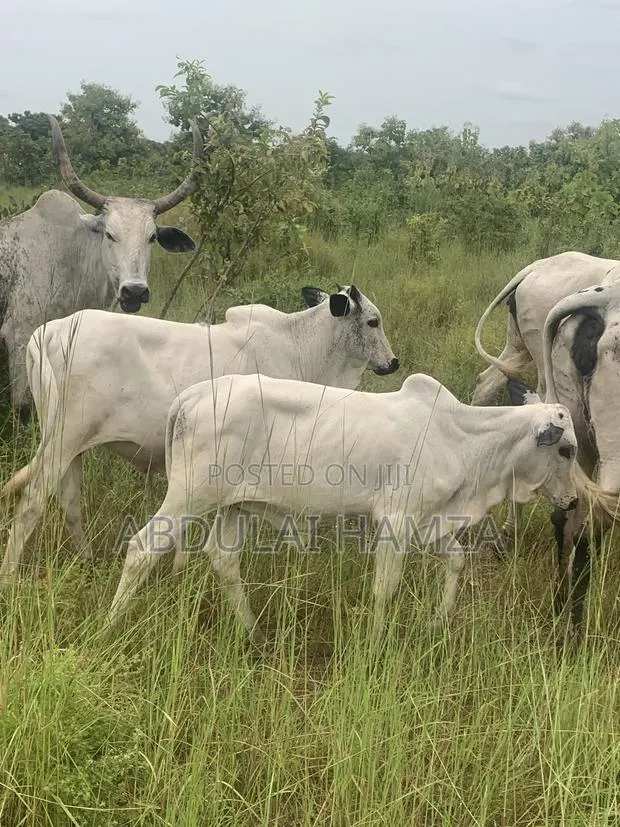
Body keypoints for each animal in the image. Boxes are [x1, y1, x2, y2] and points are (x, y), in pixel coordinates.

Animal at [0, 284, 399, 584]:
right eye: (373, 321)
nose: (393, 363)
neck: (302, 347)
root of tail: (49, 330)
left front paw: (179, 571)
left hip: (73, 448)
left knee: (70, 503)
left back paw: (87, 560)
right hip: (62, 441)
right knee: (32, 504)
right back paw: (9, 576)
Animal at [106, 371, 580, 643]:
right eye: (568, 450)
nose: (573, 500)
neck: (463, 438)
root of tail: (193, 396)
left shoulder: (430, 523)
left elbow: (458, 561)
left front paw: (436, 622)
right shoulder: (396, 521)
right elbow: (385, 588)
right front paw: (374, 643)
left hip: (232, 506)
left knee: (224, 562)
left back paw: (254, 633)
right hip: (189, 496)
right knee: (142, 548)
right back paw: (111, 626)